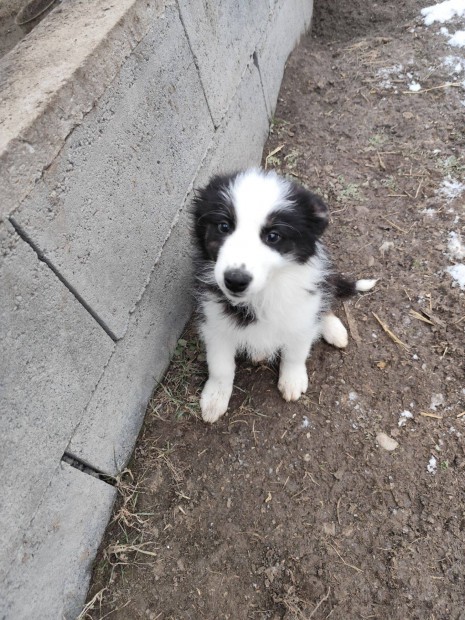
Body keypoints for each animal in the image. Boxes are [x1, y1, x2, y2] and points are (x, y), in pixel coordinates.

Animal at [190, 167, 376, 424]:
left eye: (273, 236)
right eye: (224, 227)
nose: (235, 280)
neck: (266, 290)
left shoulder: (301, 312)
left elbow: (296, 351)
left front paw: (293, 379)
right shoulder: (214, 320)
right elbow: (220, 365)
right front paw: (215, 397)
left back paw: (333, 328)